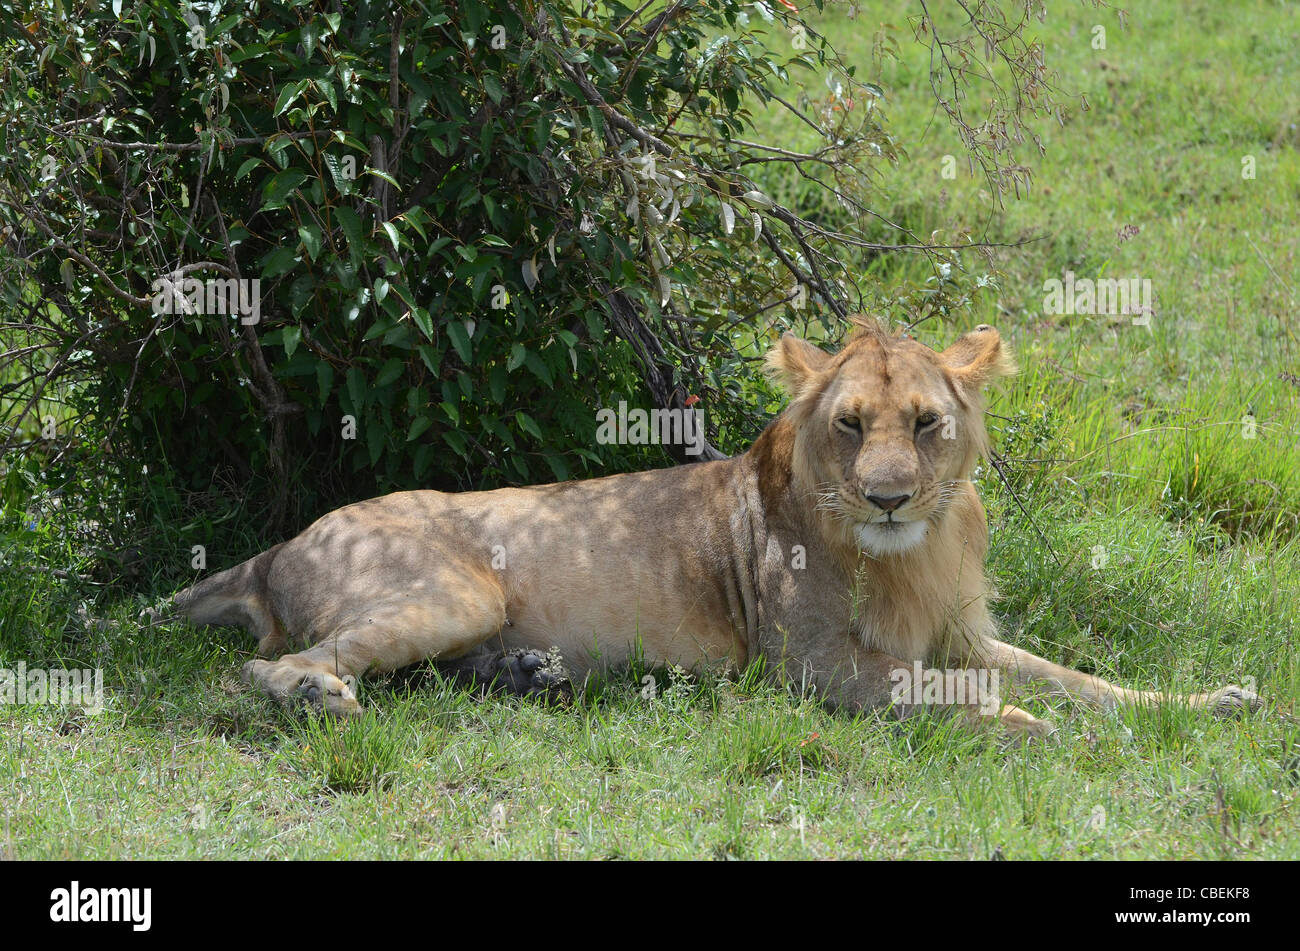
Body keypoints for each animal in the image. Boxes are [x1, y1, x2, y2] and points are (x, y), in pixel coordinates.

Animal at [171, 319, 1260, 737]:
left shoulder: (960, 632)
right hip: (455, 588)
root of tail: (277, 546)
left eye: (924, 424)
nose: (888, 498)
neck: (908, 558)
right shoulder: (810, 667)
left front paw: (1211, 700)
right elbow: (967, 696)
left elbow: (1085, 680)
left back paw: (528, 673)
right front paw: (1029, 730)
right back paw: (320, 698)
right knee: (271, 666)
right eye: (850, 426)